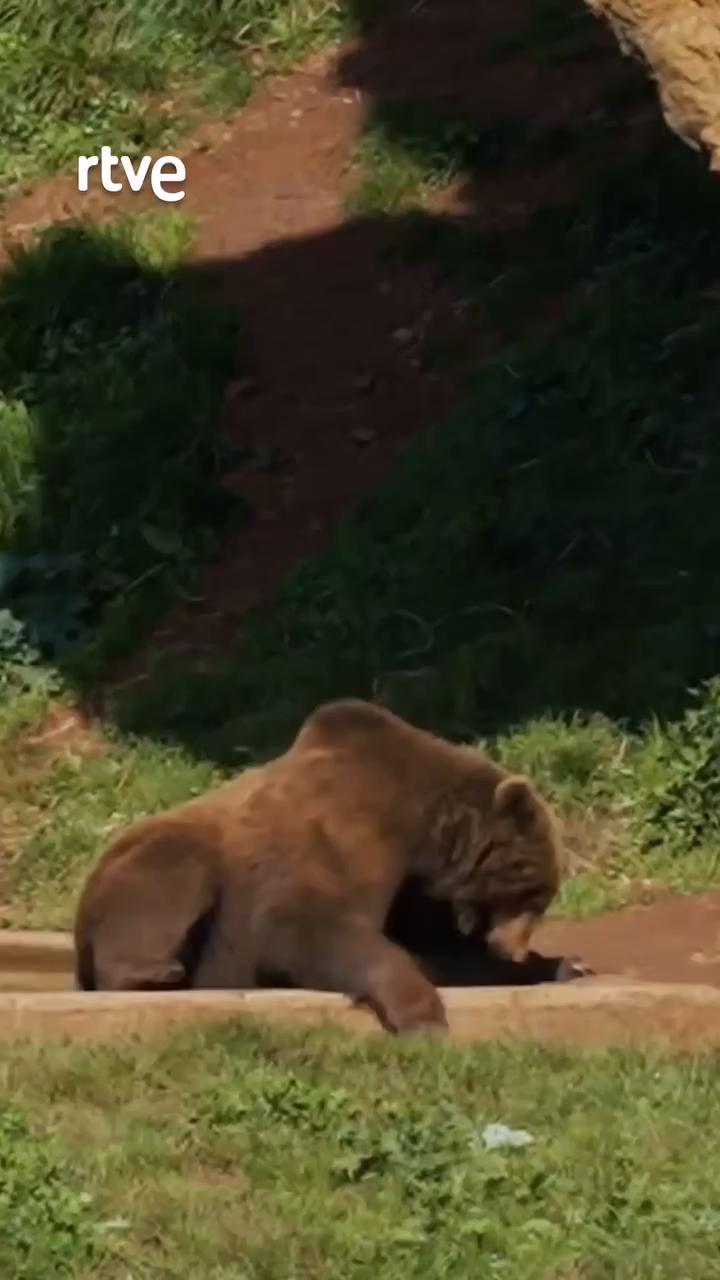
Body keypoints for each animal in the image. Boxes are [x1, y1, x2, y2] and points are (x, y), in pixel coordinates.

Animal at [74, 698, 575, 1033]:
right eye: (532, 894)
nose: (512, 947)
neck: (423, 832)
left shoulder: (416, 893)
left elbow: (444, 949)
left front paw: (561, 965)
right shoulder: (344, 833)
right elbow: (306, 924)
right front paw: (422, 1013)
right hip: (150, 862)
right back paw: (154, 973)